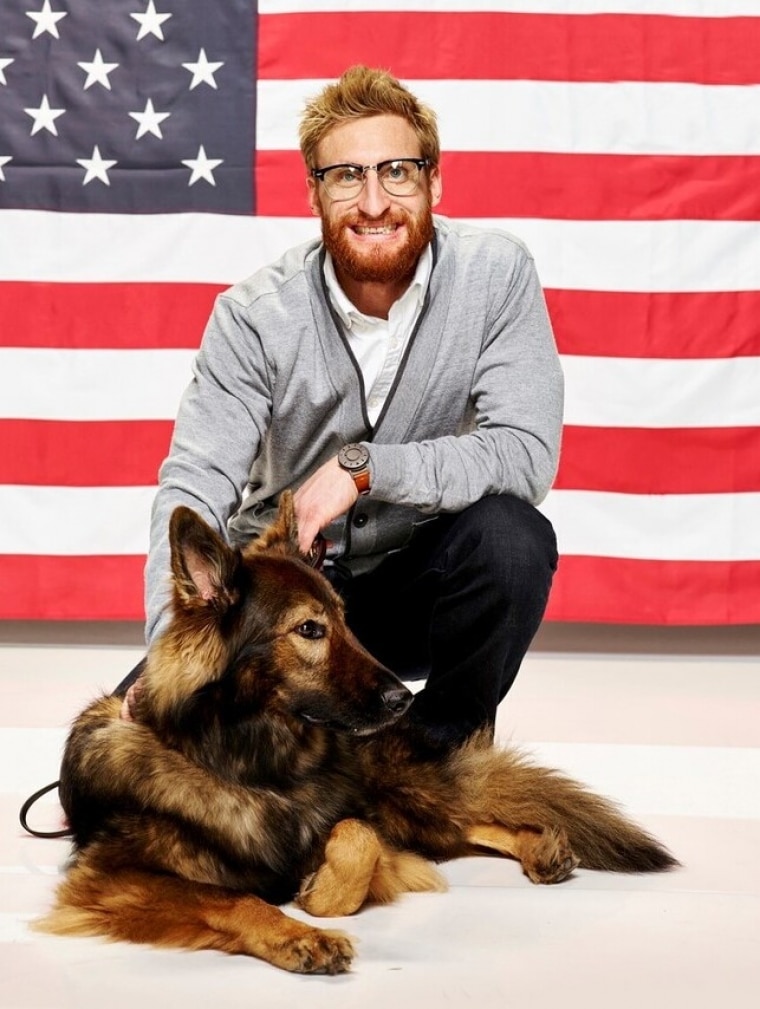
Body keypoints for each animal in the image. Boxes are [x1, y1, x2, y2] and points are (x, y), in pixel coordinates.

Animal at [34, 492, 674, 972]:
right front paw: (299, 934)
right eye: (310, 630)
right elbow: (232, 896)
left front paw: (317, 893)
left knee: (457, 822)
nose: (402, 699)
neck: (259, 767)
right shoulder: (110, 878)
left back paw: (538, 843)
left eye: (345, 620)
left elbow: (357, 841)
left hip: (384, 785)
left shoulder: (352, 818)